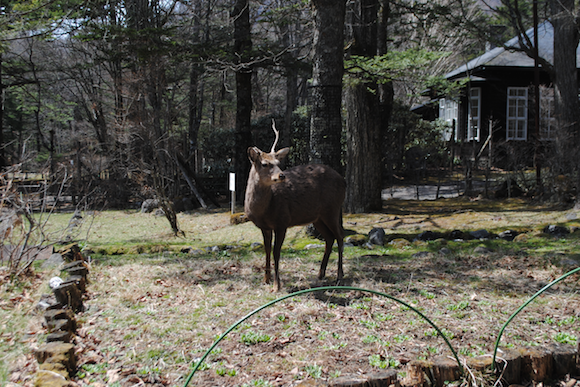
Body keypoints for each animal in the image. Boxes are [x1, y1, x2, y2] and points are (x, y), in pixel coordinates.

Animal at [244, 120, 344, 292]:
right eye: (264, 164)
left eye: (278, 163)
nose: (281, 175)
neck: (262, 211)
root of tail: (343, 181)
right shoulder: (264, 226)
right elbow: (267, 250)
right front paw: (265, 280)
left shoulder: (282, 221)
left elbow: (276, 252)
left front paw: (276, 285)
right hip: (317, 217)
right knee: (330, 238)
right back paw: (320, 274)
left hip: (333, 208)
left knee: (340, 236)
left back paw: (339, 275)